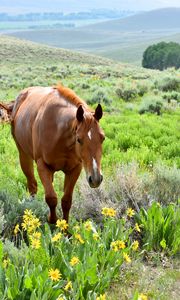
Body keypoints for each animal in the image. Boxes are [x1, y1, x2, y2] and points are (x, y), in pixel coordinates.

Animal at [0, 84, 105, 223]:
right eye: (79, 139)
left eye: (103, 138)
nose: (96, 178)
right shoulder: (42, 166)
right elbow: (51, 198)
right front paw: (52, 221)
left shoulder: (75, 168)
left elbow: (66, 200)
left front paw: (64, 227)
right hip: (24, 155)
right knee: (32, 185)